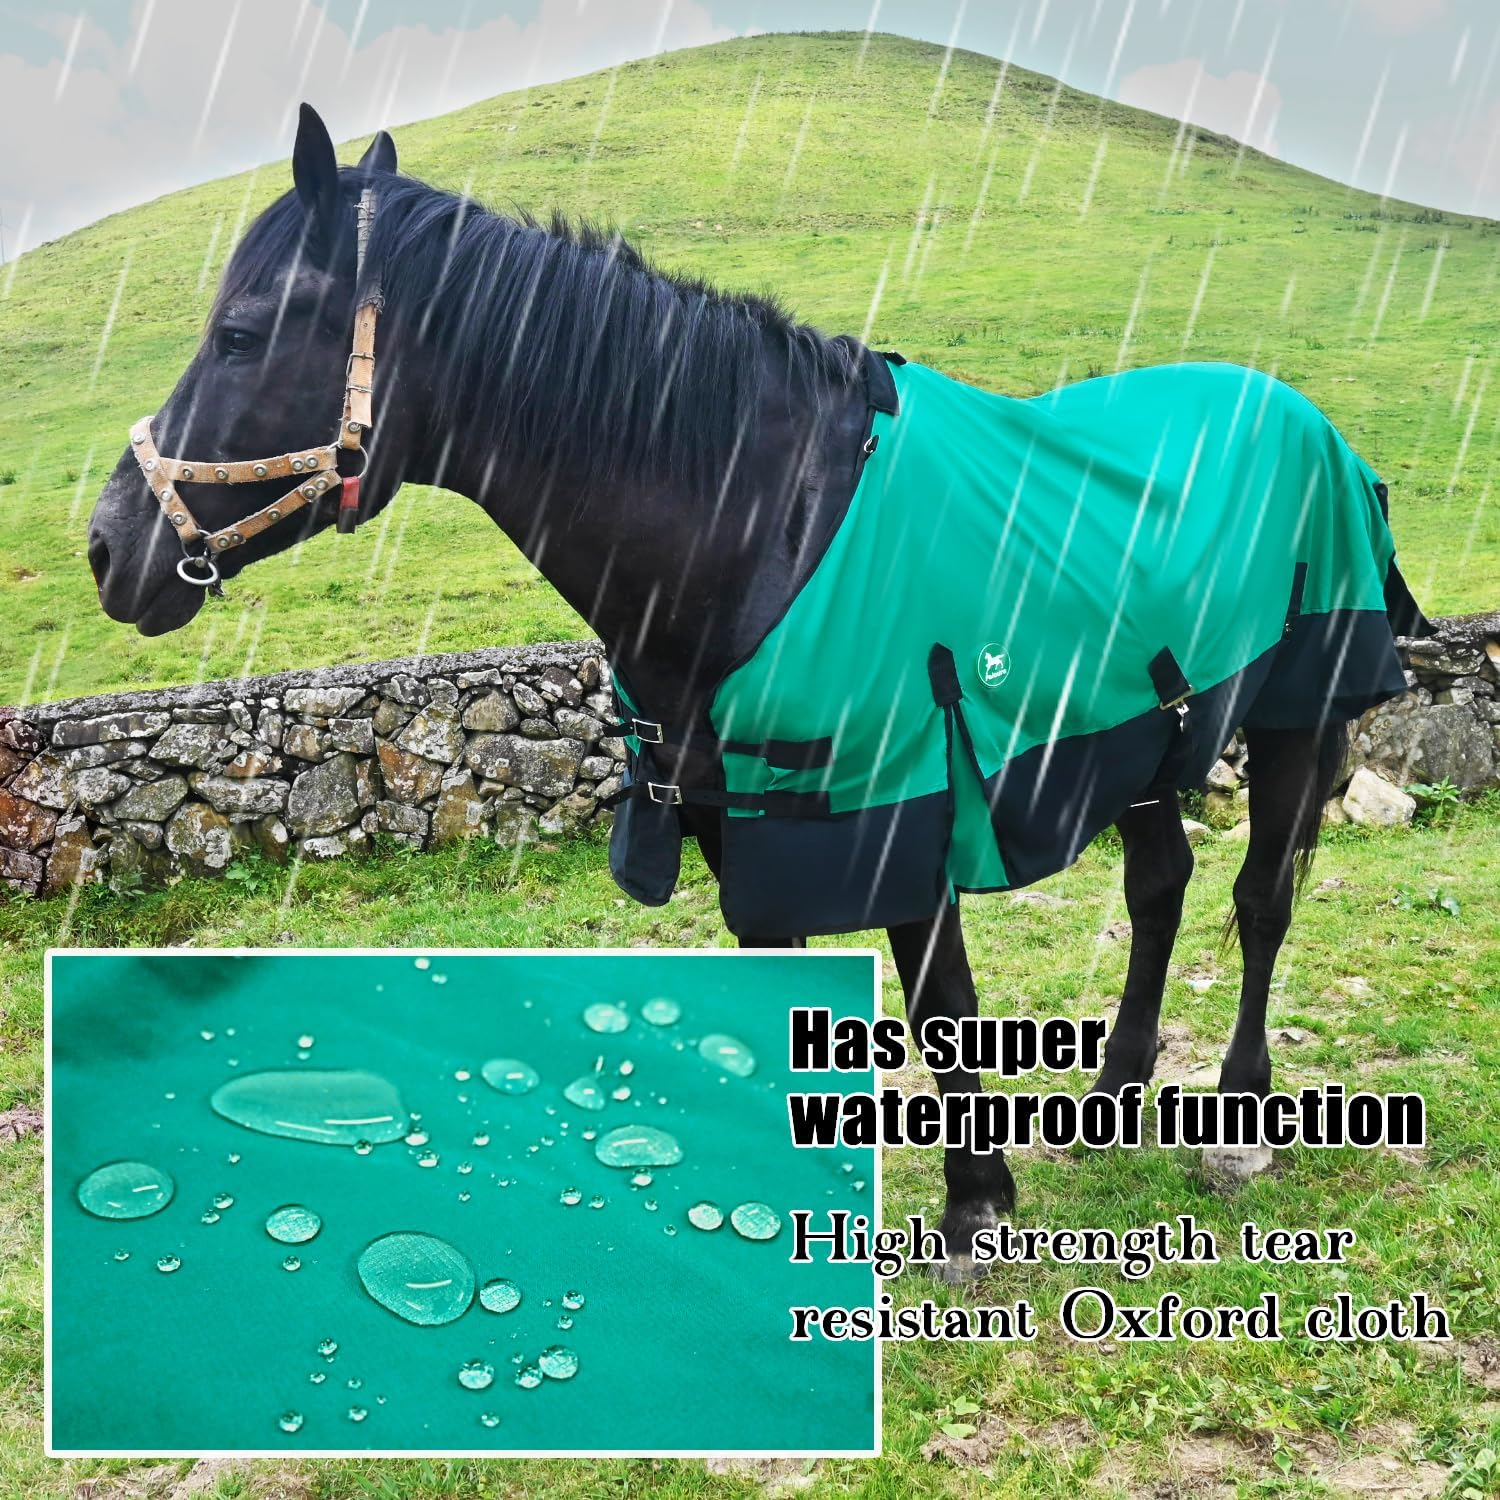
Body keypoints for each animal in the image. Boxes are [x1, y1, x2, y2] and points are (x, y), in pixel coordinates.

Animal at [87, 106, 1430, 1278]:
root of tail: (1314, 426)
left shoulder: (899, 812)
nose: (106, 545)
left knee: (1259, 903)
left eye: (243, 333)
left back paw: (1240, 1122)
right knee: (1161, 889)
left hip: (1296, 715)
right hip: (1140, 735)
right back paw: (1110, 1097)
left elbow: (943, 1004)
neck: (759, 527)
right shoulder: (749, 835)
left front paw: (976, 1210)